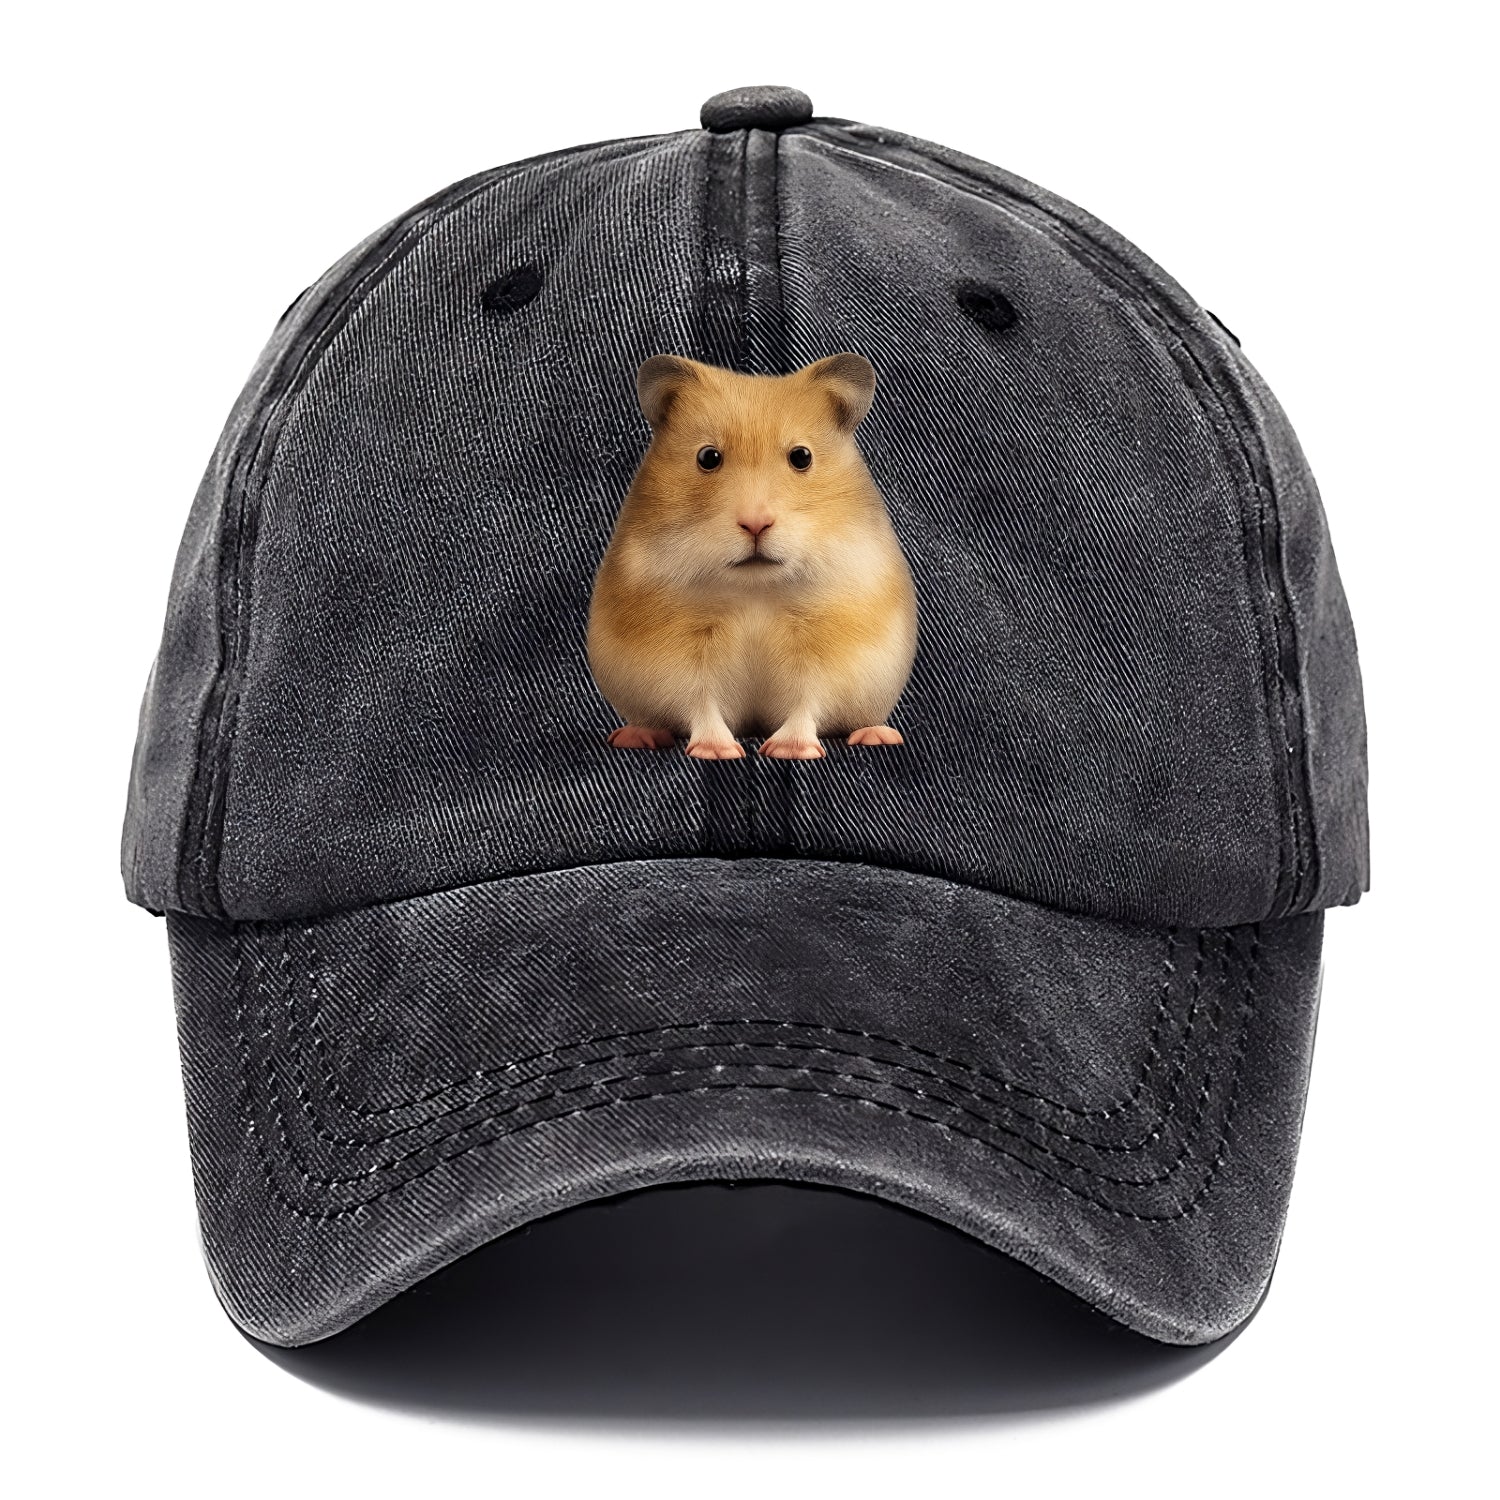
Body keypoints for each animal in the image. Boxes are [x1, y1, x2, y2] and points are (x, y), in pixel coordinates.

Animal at [587, 353, 917, 760]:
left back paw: (879, 735)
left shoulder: (824, 652)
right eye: (708, 457)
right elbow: (700, 701)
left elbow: (807, 701)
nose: (755, 524)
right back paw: (635, 736)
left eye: (801, 457)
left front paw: (789, 750)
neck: (755, 589)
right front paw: (717, 751)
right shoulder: (680, 657)